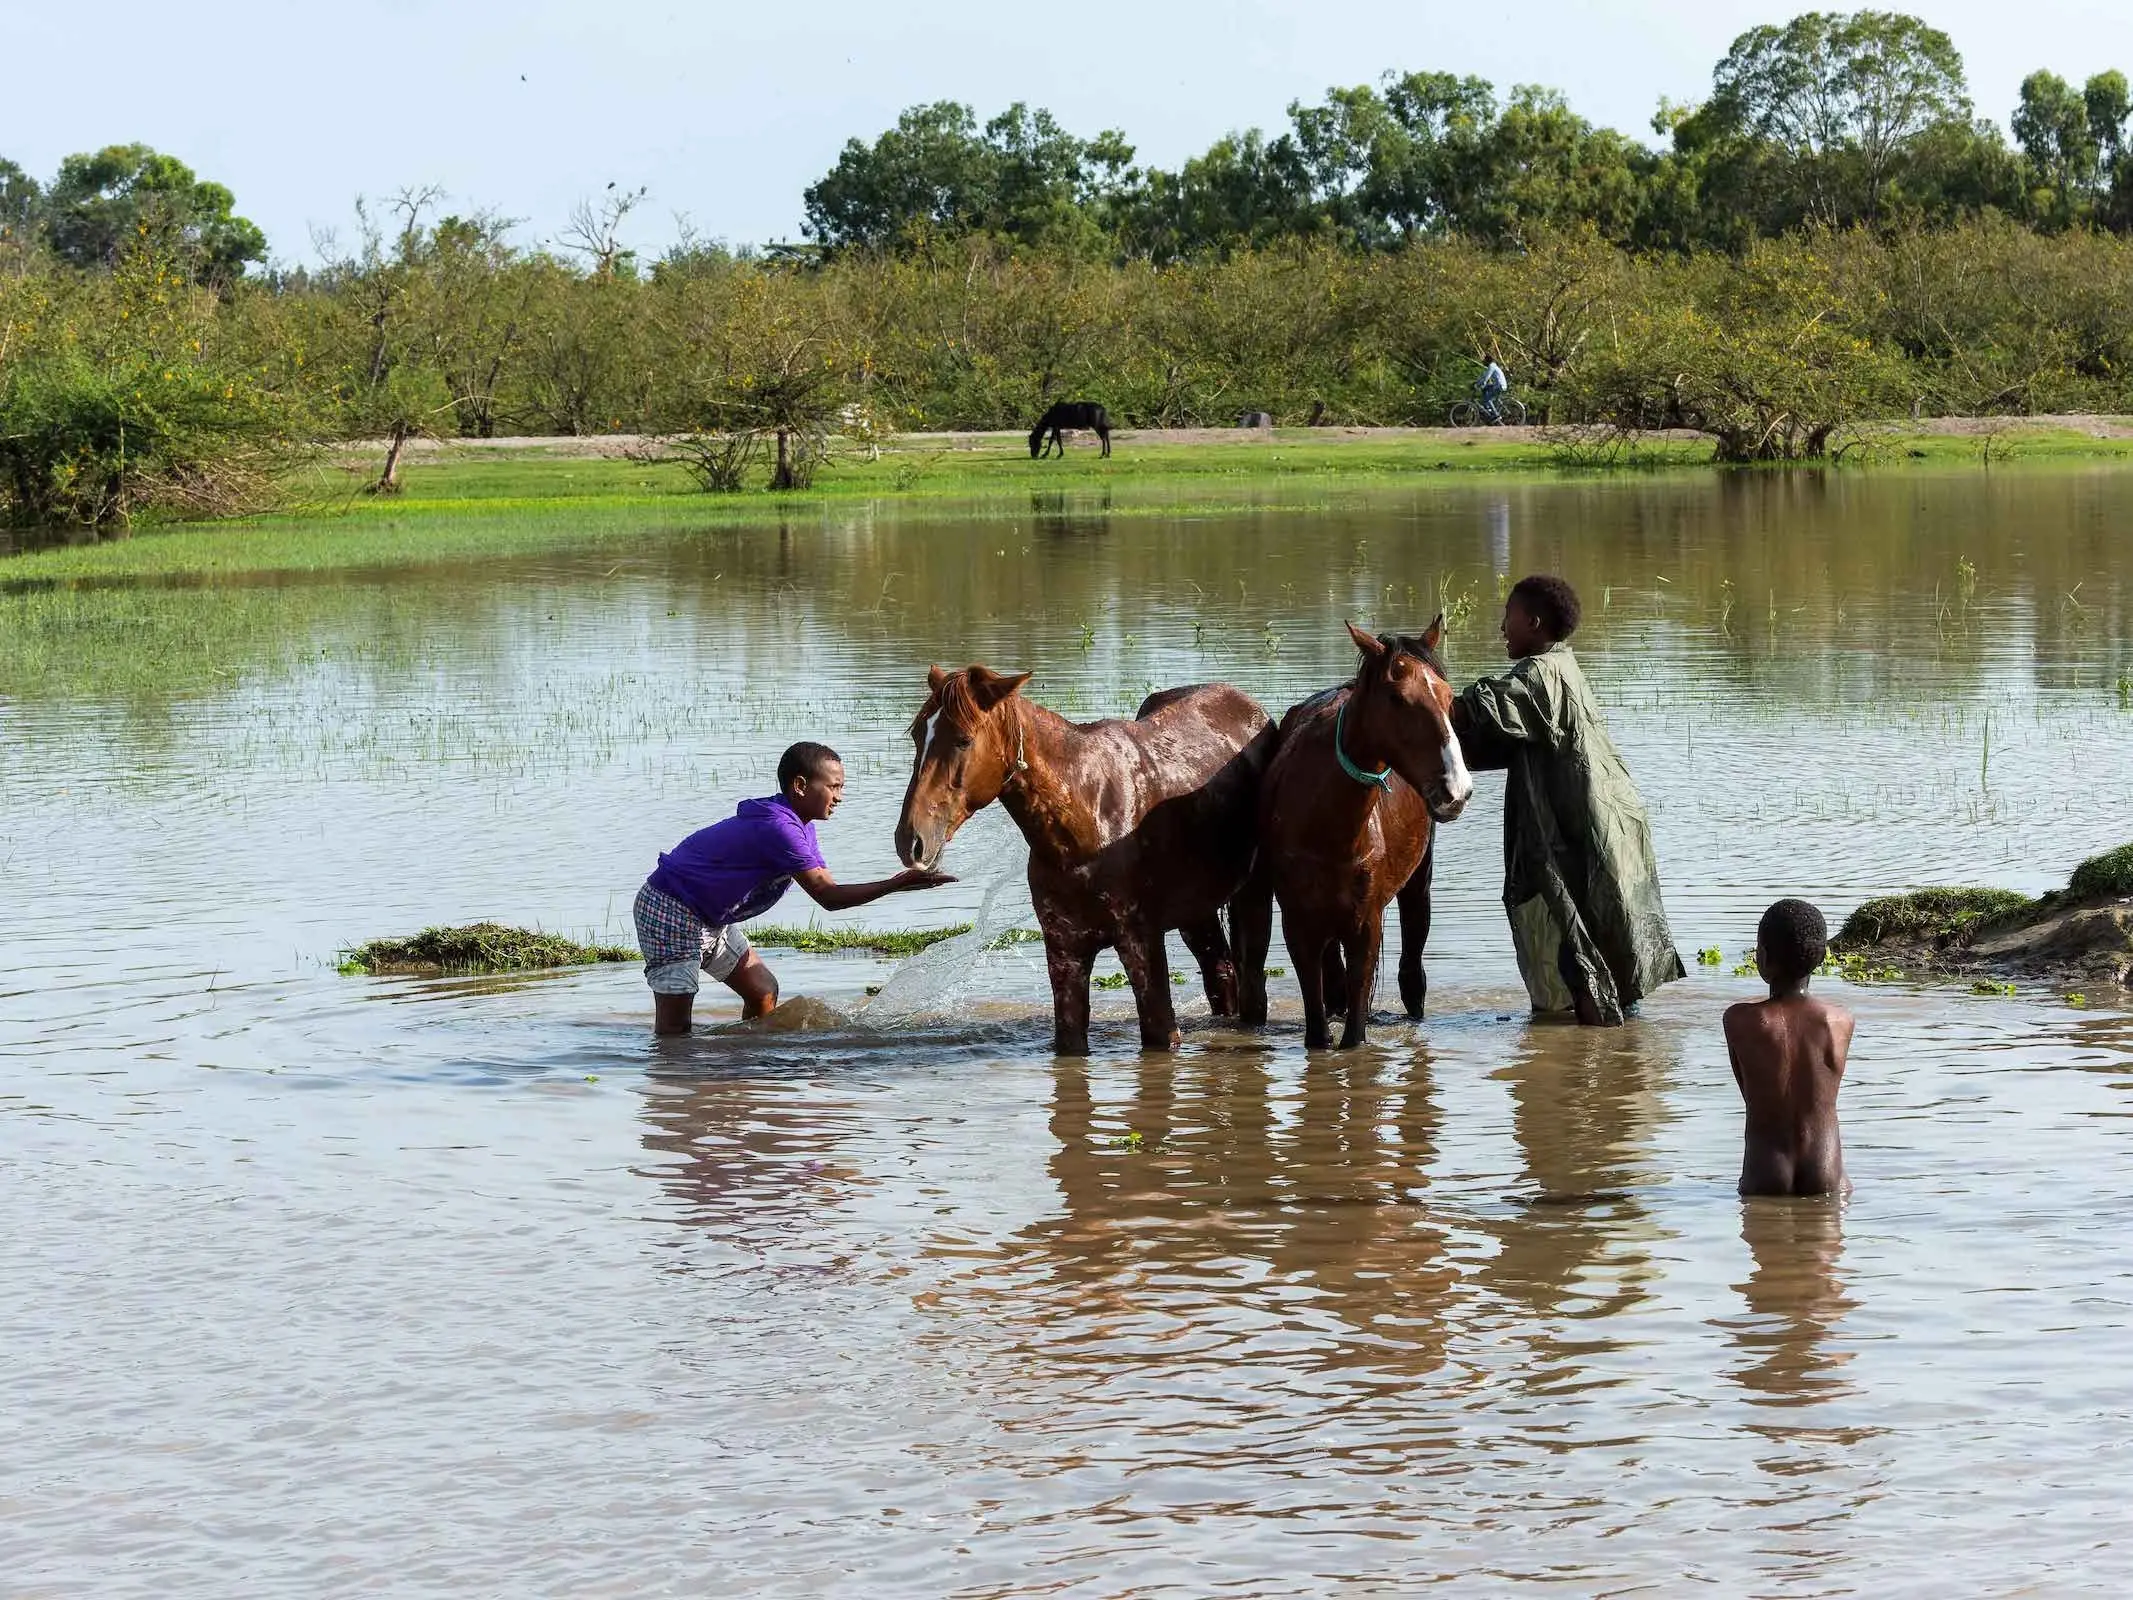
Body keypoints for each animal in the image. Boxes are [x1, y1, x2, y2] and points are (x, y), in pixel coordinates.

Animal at [891, 669, 1271, 1058]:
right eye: (918, 735)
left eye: (963, 741)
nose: (911, 841)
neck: (1085, 815)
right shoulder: (1065, 954)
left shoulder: (1141, 943)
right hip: (1196, 913)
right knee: (1220, 972)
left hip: (1251, 898)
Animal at [1254, 618, 1476, 1053]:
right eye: (1397, 698)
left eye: (1447, 697)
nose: (1456, 789)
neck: (1325, 829)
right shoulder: (1299, 928)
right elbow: (1318, 1029)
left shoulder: (1366, 927)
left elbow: (1354, 1034)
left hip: (1416, 888)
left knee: (1411, 972)